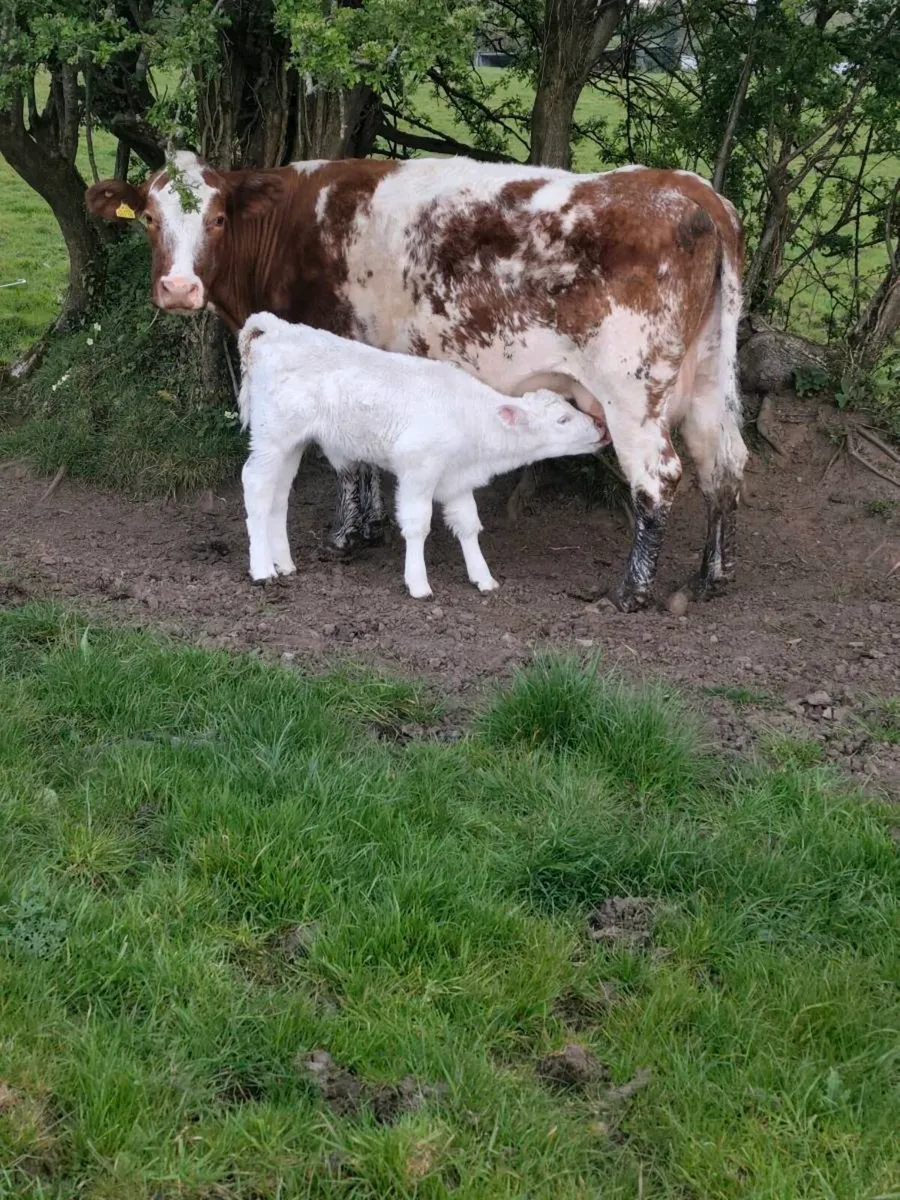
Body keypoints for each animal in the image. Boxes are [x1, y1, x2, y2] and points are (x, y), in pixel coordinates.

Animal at [86, 150, 748, 612]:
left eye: (218, 218)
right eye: (149, 218)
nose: (178, 289)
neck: (298, 221)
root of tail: (694, 193)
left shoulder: (337, 347)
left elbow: (349, 460)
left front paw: (346, 536)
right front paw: (370, 525)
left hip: (632, 389)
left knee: (659, 477)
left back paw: (630, 592)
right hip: (711, 379)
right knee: (724, 463)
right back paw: (709, 577)